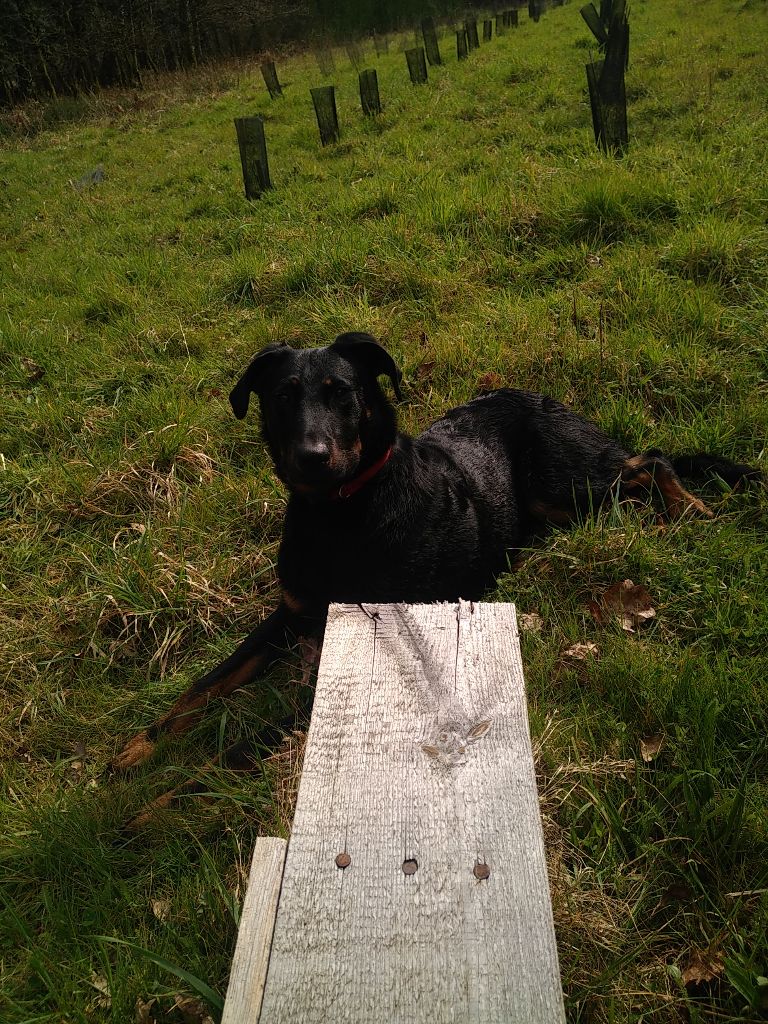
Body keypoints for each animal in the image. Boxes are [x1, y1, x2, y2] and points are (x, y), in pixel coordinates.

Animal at [112, 331, 757, 770]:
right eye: (282, 398)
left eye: (341, 394)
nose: (312, 457)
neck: (340, 514)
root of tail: (547, 398)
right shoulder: (289, 616)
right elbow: (207, 681)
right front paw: (141, 747)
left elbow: (246, 743)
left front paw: (163, 801)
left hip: (568, 488)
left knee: (652, 461)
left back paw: (690, 509)